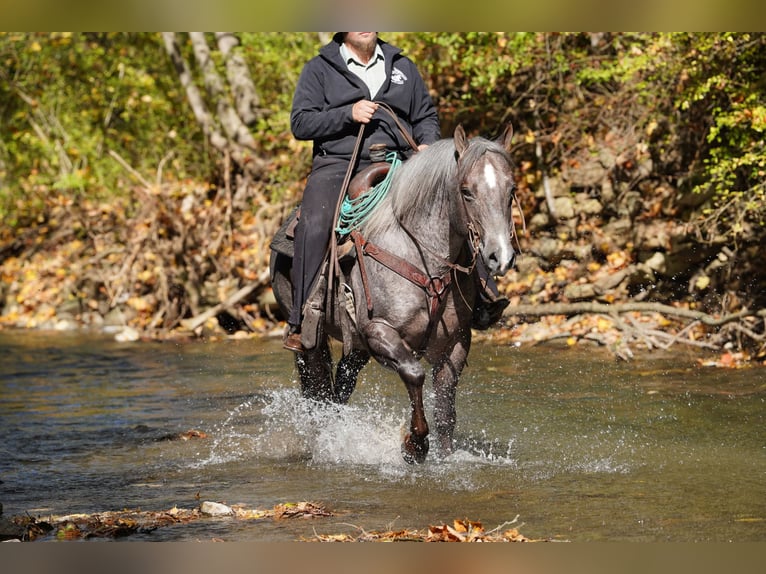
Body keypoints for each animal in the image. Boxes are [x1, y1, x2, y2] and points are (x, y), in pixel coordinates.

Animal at [269, 124, 517, 463]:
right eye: (467, 191)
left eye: (511, 190)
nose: (499, 256)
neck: (421, 257)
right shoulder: (380, 332)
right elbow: (414, 374)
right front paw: (414, 446)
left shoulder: (455, 343)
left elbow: (445, 409)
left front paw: (444, 455)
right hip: (311, 339)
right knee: (317, 386)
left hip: (356, 346)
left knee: (341, 384)